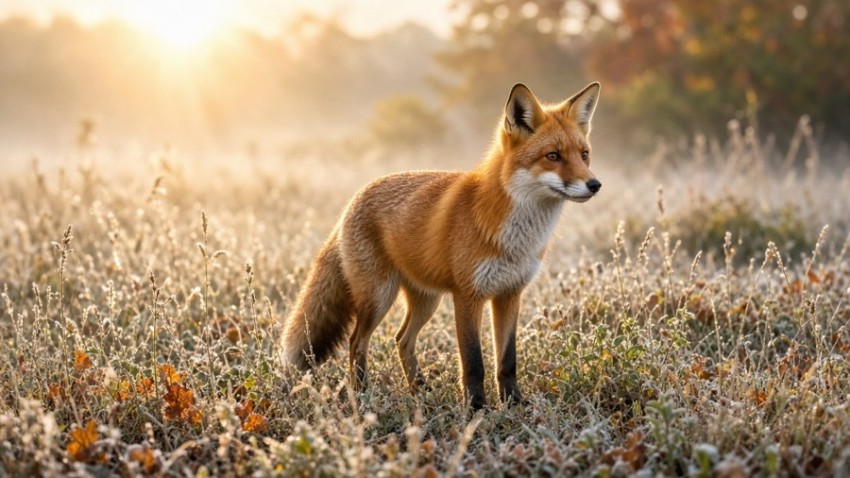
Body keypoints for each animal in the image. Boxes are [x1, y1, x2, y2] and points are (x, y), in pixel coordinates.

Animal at [282, 82, 602, 410]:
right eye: (553, 156)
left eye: (584, 155)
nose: (595, 185)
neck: (515, 238)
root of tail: (352, 201)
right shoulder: (467, 295)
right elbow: (474, 362)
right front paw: (476, 408)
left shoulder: (510, 294)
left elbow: (507, 361)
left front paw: (513, 403)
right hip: (379, 297)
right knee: (356, 341)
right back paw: (362, 393)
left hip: (427, 300)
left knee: (402, 340)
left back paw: (419, 390)